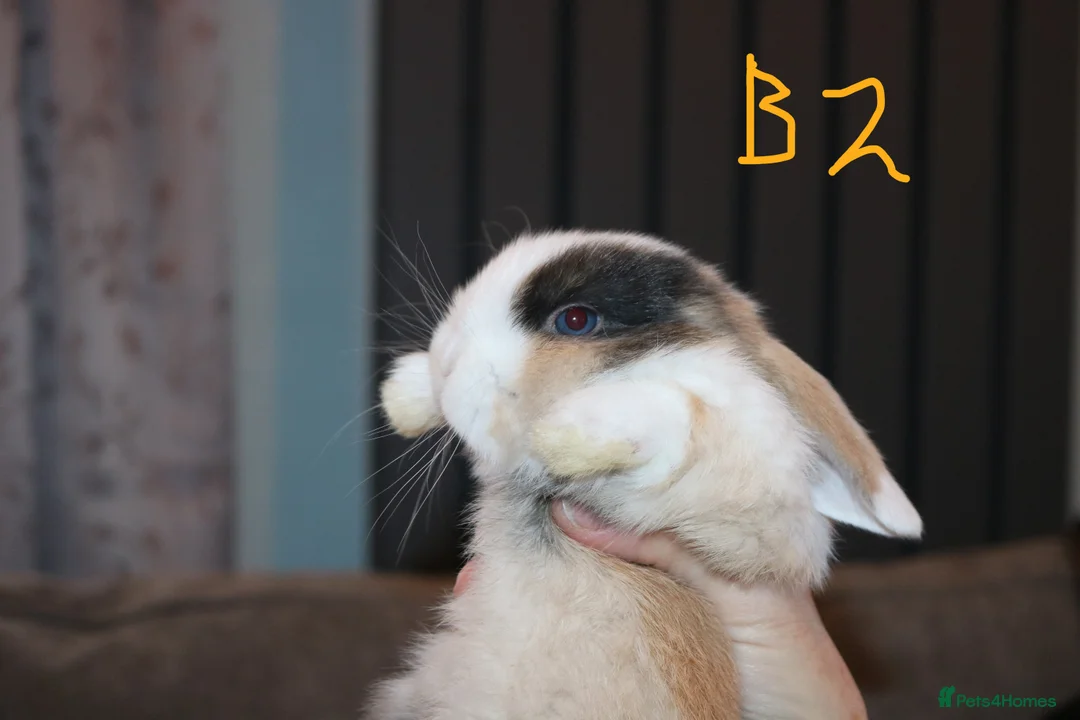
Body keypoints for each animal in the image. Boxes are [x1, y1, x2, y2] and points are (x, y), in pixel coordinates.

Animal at [364, 230, 922, 720]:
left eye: (575, 320)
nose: (445, 362)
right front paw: (403, 393)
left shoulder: (758, 505)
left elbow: (677, 409)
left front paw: (565, 431)